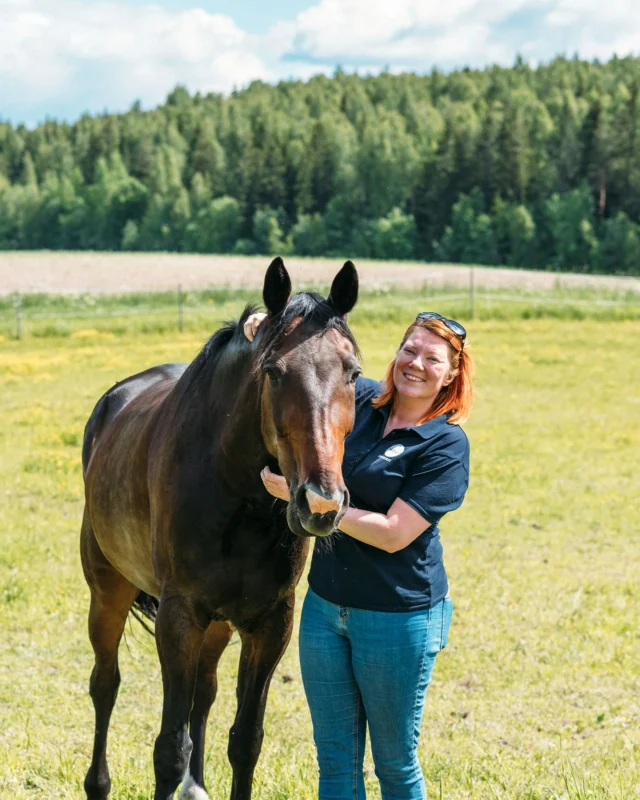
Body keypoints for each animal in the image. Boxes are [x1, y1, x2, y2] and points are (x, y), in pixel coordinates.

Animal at [80, 257, 360, 800]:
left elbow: (245, 739)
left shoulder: (271, 623)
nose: (321, 502)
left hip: (218, 625)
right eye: (273, 372)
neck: (237, 496)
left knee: (204, 693)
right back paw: (98, 784)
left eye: (353, 373)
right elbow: (169, 749)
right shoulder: (179, 617)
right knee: (105, 684)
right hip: (109, 592)